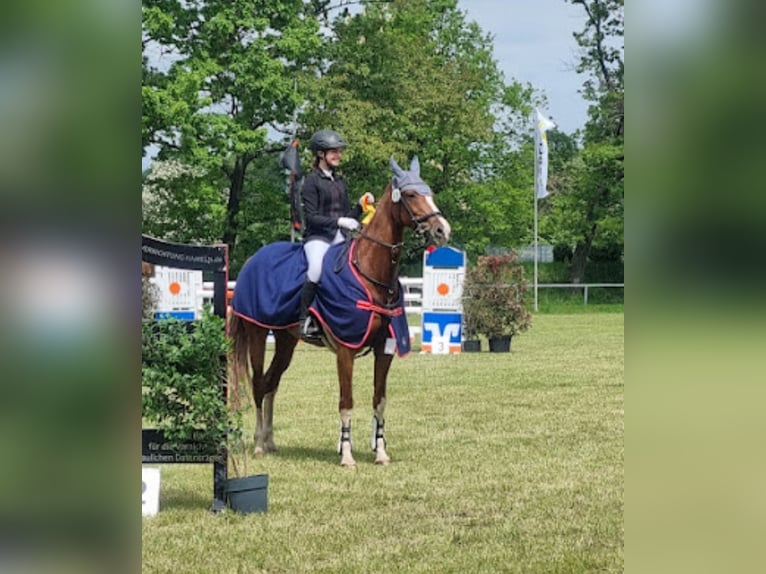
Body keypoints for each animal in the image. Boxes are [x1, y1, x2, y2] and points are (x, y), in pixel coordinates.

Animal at [231, 158, 452, 468]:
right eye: (410, 195)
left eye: (428, 191)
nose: (442, 230)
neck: (370, 274)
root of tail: (253, 260)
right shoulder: (346, 350)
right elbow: (346, 403)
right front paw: (347, 455)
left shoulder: (385, 349)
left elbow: (379, 401)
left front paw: (380, 452)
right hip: (258, 334)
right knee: (259, 383)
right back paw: (259, 444)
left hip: (286, 341)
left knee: (272, 383)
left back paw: (271, 441)